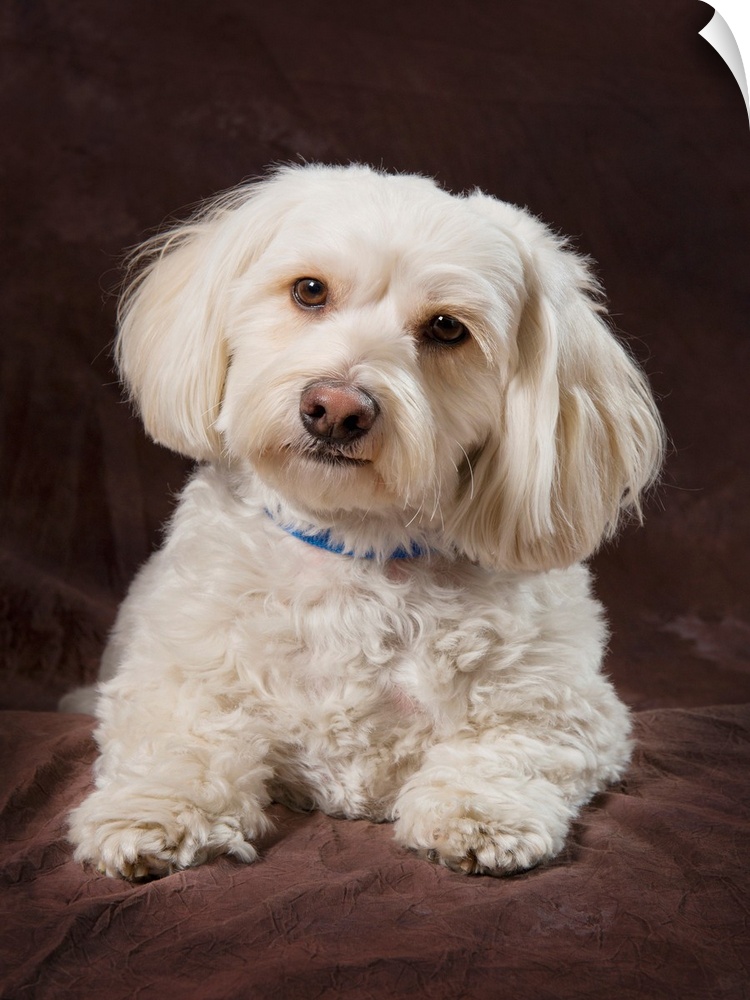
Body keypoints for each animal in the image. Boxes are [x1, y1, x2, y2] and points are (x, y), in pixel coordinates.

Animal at [61, 163, 664, 879]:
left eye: (448, 329)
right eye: (309, 290)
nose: (337, 408)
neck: (355, 550)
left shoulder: (569, 710)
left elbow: (507, 749)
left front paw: (480, 814)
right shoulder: (171, 679)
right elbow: (184, 740)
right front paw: (155, 811)